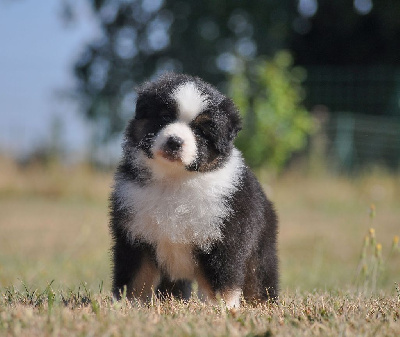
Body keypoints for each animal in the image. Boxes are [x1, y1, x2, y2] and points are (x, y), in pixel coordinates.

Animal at [109, 73, 278, 308]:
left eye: (200, 130)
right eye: (164, 116)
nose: (174, 141)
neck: (175, 180)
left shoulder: (223, 238)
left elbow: (222, 281)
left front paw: (222, 308)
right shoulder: (135, 236)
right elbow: (135, 278)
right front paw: (128, 305)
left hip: (261, 249)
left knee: (259, 279)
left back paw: (262, 304)